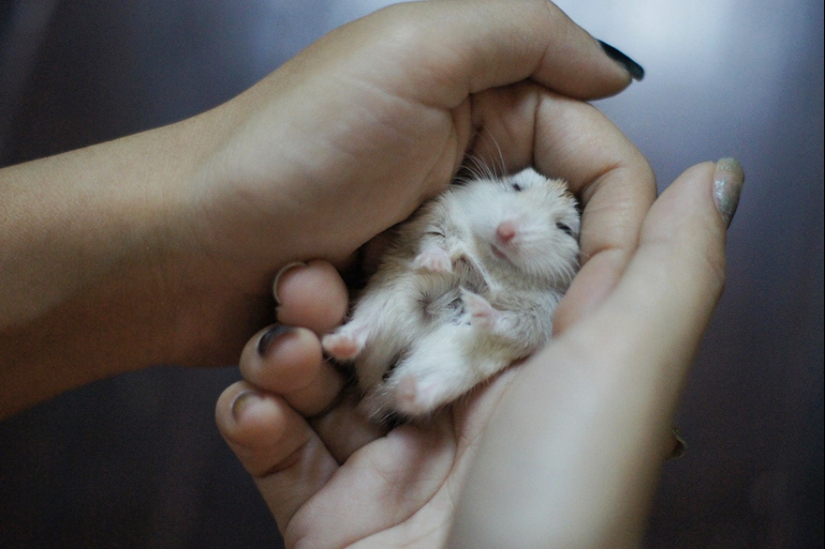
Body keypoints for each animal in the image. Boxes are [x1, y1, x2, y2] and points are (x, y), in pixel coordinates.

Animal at [322, 167, 580, 424]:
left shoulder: (538, 317)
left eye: (564, 228)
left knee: (412, 398)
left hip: (450, 371)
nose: (505, 232)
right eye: (516, 187)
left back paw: (407, 389)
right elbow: (434, 242)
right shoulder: (438, 219)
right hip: (381, 302)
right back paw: (334, 343)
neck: (494, 261)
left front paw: (475, 304)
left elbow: (507, 322)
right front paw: (437, 264)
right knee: (363, 329)